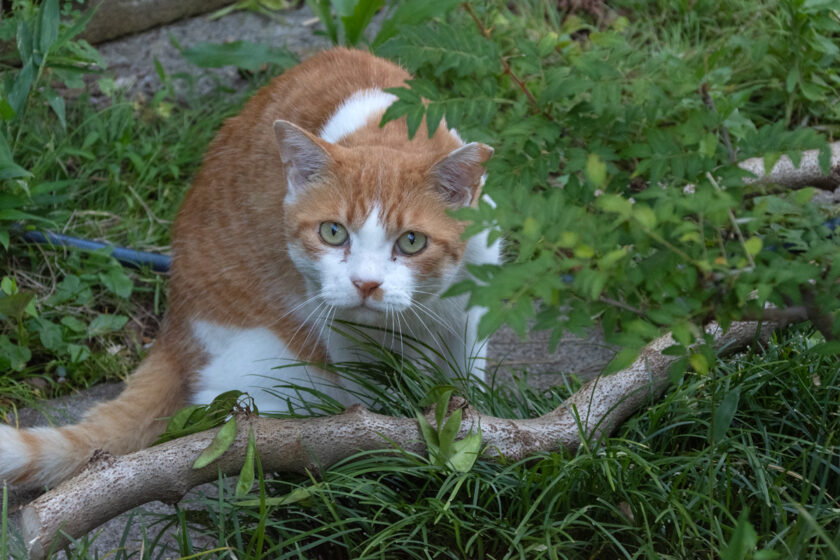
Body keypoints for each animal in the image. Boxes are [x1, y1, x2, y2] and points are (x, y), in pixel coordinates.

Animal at [0, 49, 498, 490]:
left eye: (411, 242)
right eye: (333, 232)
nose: (366, 283)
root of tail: (173, 330)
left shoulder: (472, 314)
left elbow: (466, 386)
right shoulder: (342, 336)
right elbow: (374, 411)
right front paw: (392, 462)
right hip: (277, 365)